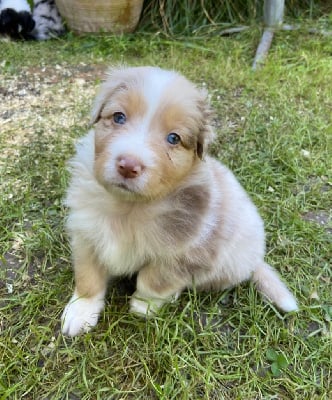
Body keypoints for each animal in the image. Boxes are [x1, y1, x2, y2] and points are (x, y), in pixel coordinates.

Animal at [60, 67, 298, 336]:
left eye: (174, 138)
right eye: (119, 117)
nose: (128, 166)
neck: (129, 206)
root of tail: (256, 259)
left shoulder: (185, 254)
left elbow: (154, 280)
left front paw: (144, 306)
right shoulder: (86, 235)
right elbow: (88, 277)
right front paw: (80, 311)